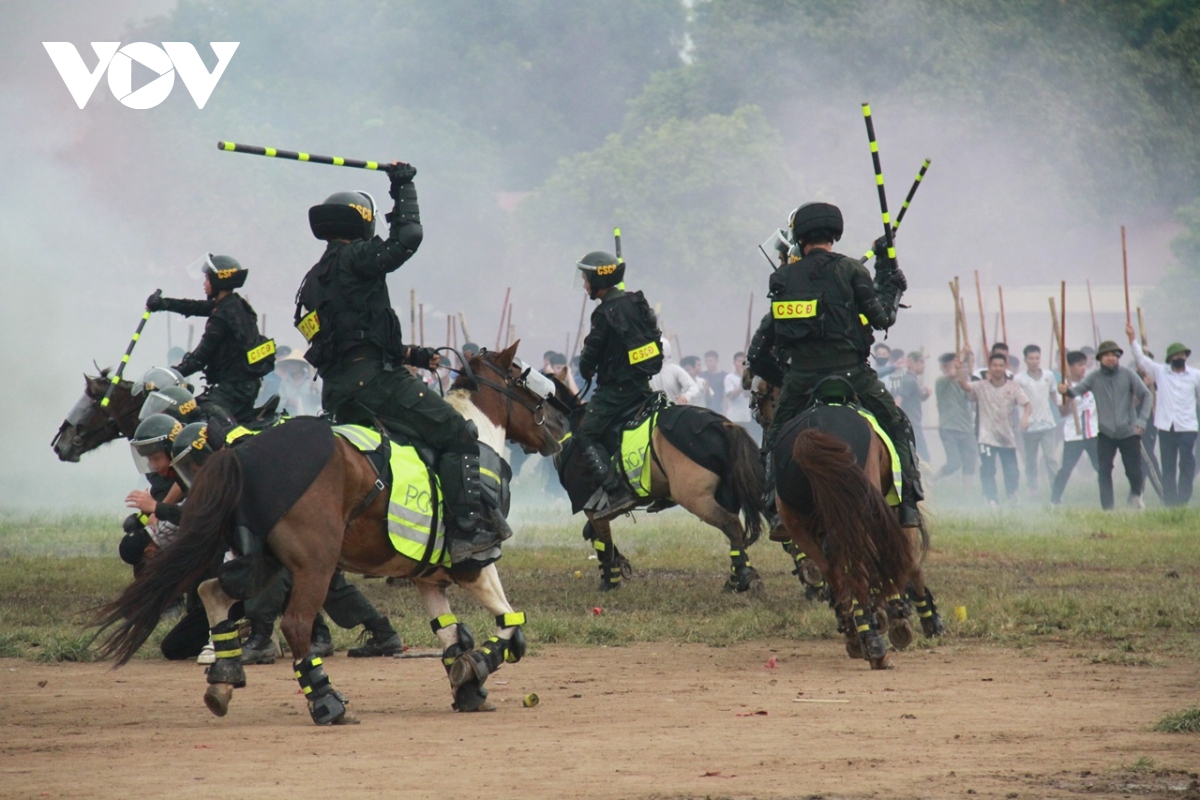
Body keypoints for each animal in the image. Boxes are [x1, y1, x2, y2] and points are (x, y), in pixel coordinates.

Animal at [91, 345, 568, 724]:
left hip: (265, 560)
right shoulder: (475, 565)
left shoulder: (428, 578)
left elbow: (450, 635)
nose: (561, 428)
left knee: (213, 590)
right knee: (296, 624)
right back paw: (326, 701)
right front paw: (479, 667)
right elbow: (511, 628)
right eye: (526, 380)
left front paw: (467, 685)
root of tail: (243, 451)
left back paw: (224, 678)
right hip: (314, 564)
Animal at [753, 376, 940, 671]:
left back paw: (856, 635)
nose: (762, 421)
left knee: (837, 575)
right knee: (861, 570)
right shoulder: (892, 509)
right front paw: (911, 616)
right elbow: (906, 561)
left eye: (762, 396)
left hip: (803, 525)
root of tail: (811, 435)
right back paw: (876, 643)